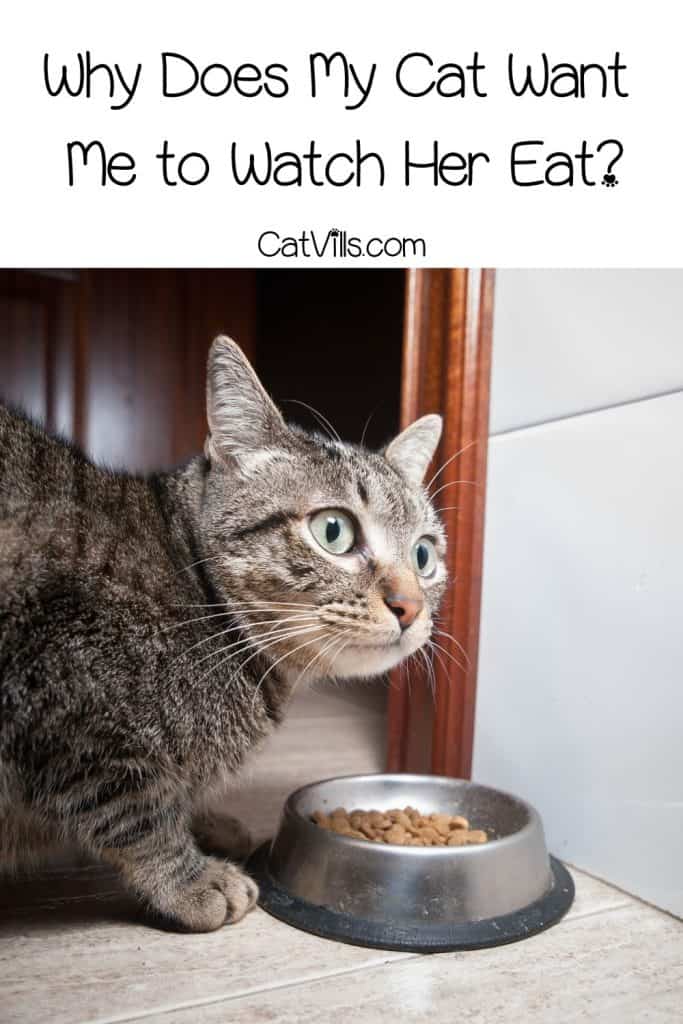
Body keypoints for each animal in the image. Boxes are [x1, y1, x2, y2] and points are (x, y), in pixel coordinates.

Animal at [0, 335, 448, 929]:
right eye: (333, 531)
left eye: (423, 555)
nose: (410, 606)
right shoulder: (66, 714)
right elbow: (134, 813)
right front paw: (190, 878)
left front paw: (206, 823)